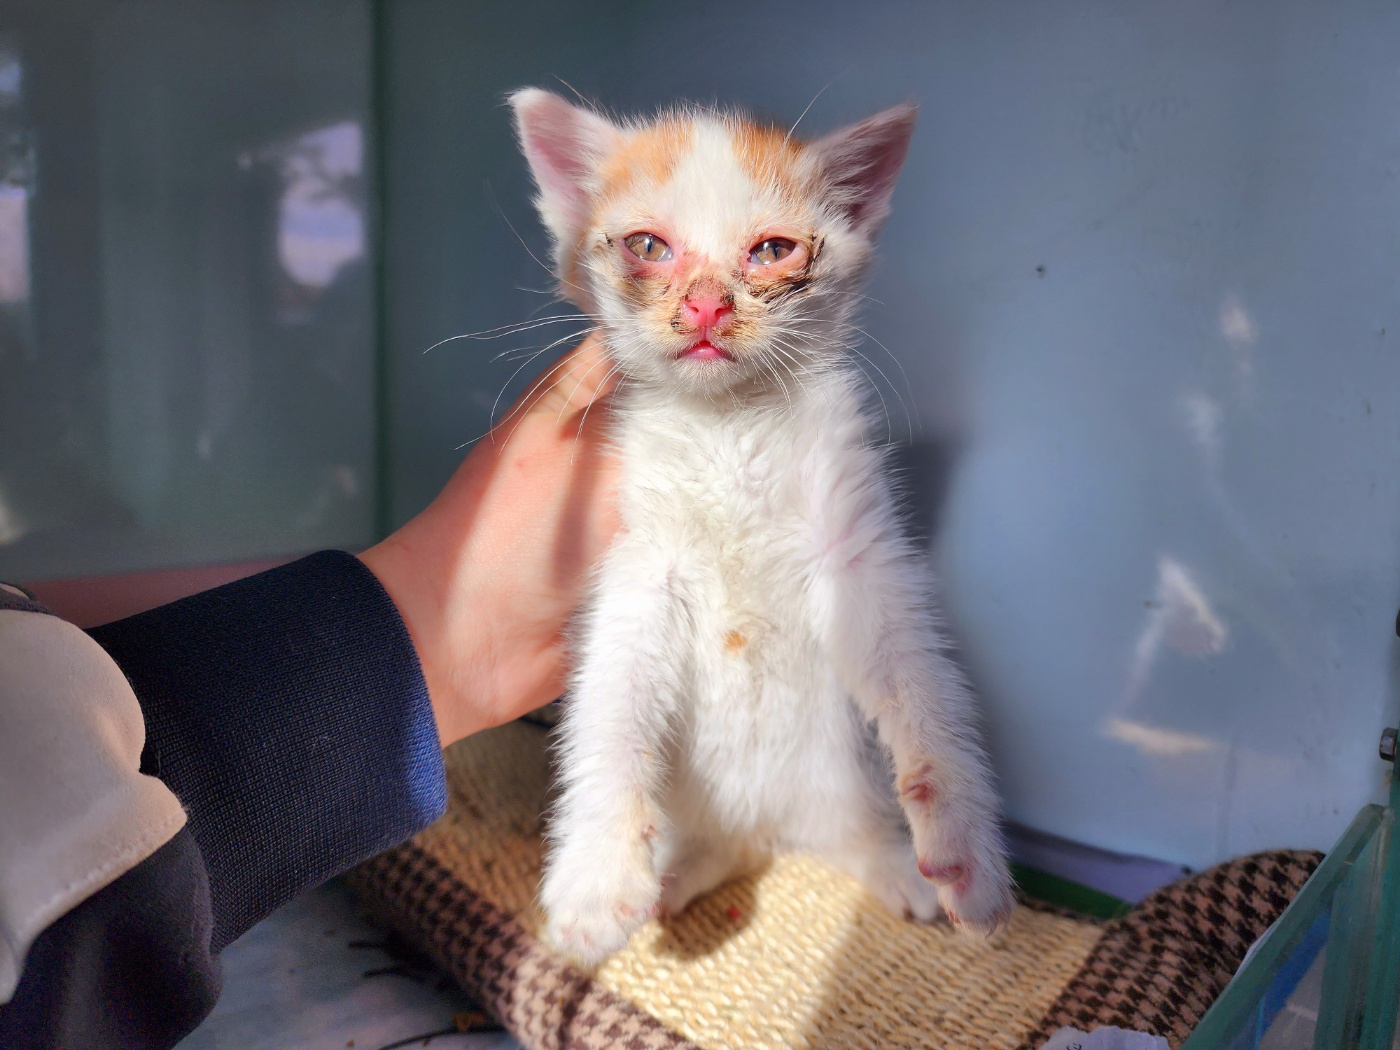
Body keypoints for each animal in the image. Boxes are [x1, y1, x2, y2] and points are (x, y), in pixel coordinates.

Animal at [509, 86, 1013, 968]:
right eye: (648, 246)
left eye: (772, 250)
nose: (708, 303)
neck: (728, 428)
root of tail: (767, 831)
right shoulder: (635, 559)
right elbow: (610, 705)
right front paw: (597, 874)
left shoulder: (857, 544)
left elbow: (922, 680)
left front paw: (965, 846)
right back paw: (675, 878)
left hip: (841, 780)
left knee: (846, 834)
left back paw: (896, 866)